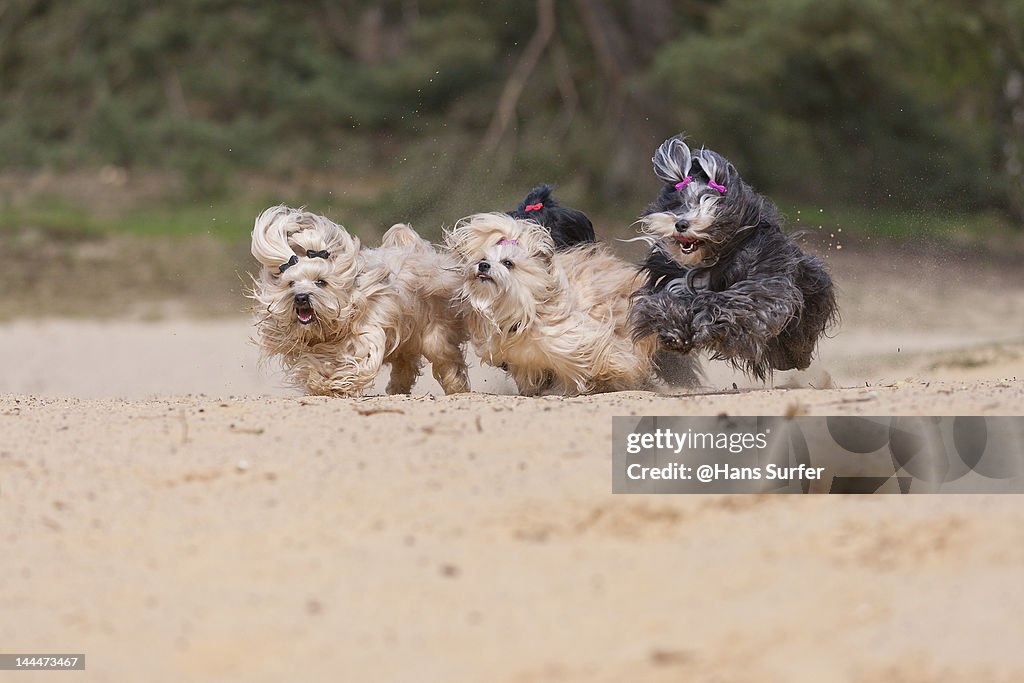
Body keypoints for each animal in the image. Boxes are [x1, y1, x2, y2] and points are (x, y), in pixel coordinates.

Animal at [249, 204, 468, 395]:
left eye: (321, 282)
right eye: (291, 283)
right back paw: (397, 388)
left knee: (447, 359)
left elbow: (352, 362)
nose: (301, 297)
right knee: (406, 363)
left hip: (435, 334)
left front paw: (329, 383)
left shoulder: (366, 336)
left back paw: (457, 387)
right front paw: (319, 380)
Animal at [446, 211, 655, 395]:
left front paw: (607, 378)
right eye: (483, 259)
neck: (525, 312)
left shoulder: (575, 340)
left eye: (508, 263)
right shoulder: (525, 360)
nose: (483, 265)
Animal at [630, 133, 839, 378]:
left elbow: (733, 303)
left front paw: (706, 320)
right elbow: (664, 302)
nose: (681, 224)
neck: (713, 258)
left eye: (710, 202)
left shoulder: (762, 285)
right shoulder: (673, 279)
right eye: (679, 203)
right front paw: (674, 333)